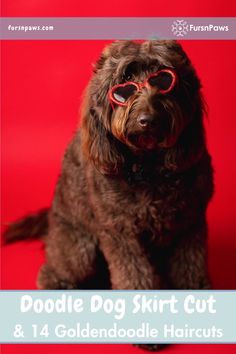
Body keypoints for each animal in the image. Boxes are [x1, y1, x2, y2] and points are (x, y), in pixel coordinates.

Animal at [4, 40, 214, 350]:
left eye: (164, 80)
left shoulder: (190, 224)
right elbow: (135, 276)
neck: (149, 166)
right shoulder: (121, 233)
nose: (148, 120)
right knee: (53, 269)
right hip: (79, 249)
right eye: (122, 89)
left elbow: (191, 267)